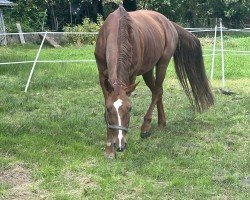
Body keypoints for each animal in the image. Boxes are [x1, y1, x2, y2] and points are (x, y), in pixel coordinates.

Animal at [94, 6, 214, 159]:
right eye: (109, 109)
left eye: (130, 108)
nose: (120, 145)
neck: (117, 28)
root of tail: (168, 22)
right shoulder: (102, 75)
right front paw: (109, 148)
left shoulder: (131, 76)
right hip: (148, 70)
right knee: (157, 91)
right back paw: (161, 123)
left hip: (162, 63)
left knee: (158, 91)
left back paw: (146, 127)